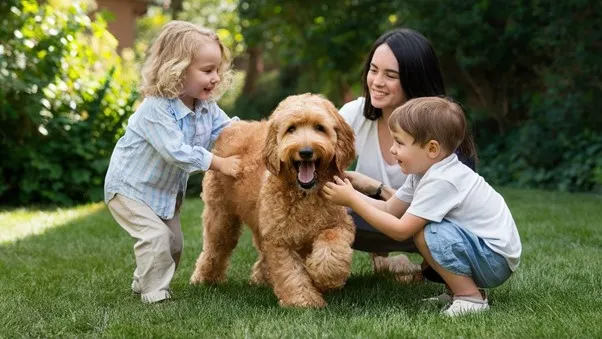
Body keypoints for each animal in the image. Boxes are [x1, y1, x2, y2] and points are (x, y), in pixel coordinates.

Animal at [190, 93, 354, 308]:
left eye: (320, 127)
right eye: (291, 129)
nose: (306, 151)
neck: (304, 194)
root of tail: (232, 127)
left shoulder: (339, 224)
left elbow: (332, 248)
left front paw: (323, 277)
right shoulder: (279, 240)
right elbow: (290, 272)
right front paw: (303, 300)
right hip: (221, 218)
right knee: (214, 248)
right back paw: (204, 278)